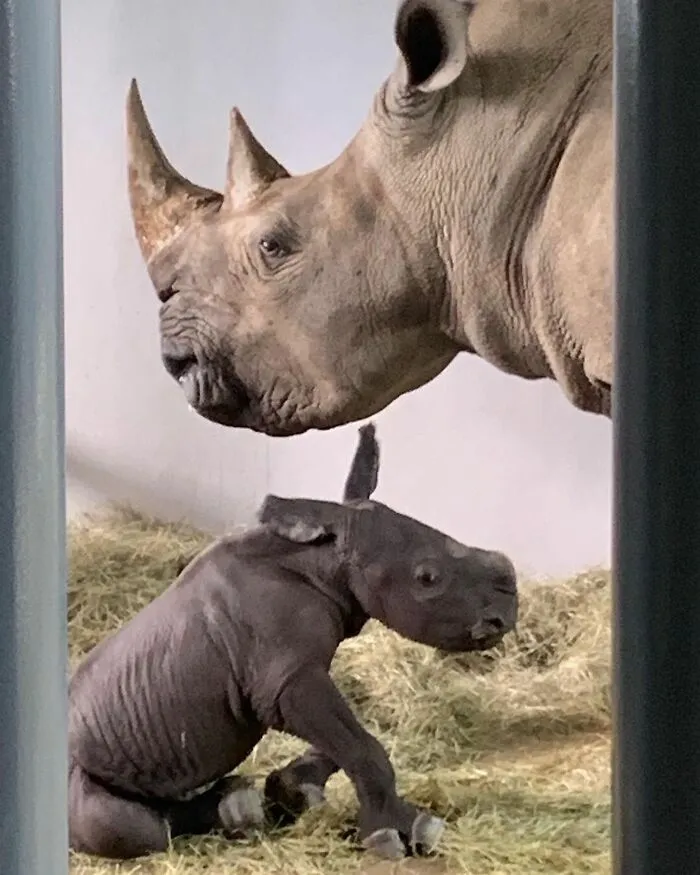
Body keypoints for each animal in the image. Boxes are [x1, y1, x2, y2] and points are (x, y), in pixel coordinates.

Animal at [68, 422, 518, 860]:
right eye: (427, 578)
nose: (505, 614)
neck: (323, 560)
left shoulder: (294, 672)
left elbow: (347, 739)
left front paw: (293, 788)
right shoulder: (284, 680)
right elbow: (364, 748)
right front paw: (401, 834)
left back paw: (239, 805)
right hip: (76, 772)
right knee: (130, 827)